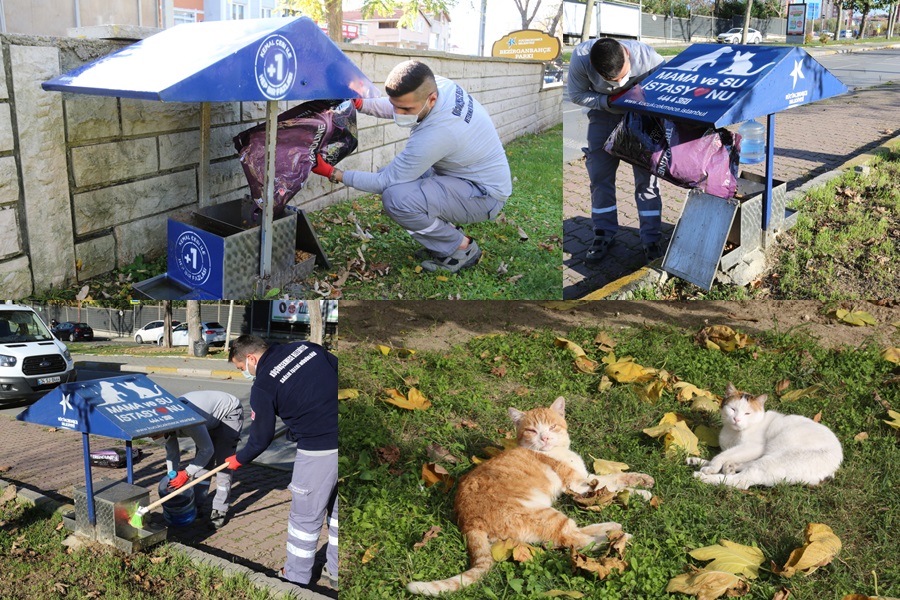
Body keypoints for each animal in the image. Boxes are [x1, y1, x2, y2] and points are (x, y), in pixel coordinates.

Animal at [408, 396, 652, 596]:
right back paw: (618, 539)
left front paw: (643, 482)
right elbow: (613, 487)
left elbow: (618, 480)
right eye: (532, 431)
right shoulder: (579, 486)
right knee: (576, 540)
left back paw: (612, 527)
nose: (544, 438)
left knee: (573, 534)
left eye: (552, 426)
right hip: (544, 514)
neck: (555, 452)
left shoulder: (587, 478)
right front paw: (641, 493)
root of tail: (468, 521)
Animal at [688, 384, 844, 488]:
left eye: (747, 413)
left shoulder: (753, 447)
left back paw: (702, 476)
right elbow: (725, 454)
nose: (736, 419)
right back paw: (709, 464)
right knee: (744, 466)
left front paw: (711, 468)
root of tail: (834, 468)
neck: (732, 433)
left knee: (741, 481)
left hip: (775, 459)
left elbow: (722, 456)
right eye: (732, 409)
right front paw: (708, 463)